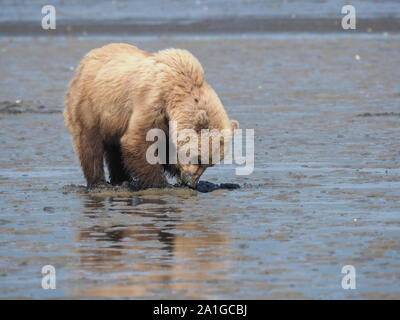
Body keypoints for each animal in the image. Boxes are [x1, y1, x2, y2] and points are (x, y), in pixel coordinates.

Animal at [63, 42, 238, 188]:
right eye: (199, 158)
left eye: (211, 163)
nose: (191, 183)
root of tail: (85, 61)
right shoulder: (153, 101)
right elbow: (139, 141)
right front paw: (161, 184)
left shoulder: (168, 121)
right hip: (91, 104)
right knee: (89, 142)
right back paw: (99, 182)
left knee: (115, 149)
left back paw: (122, 179)